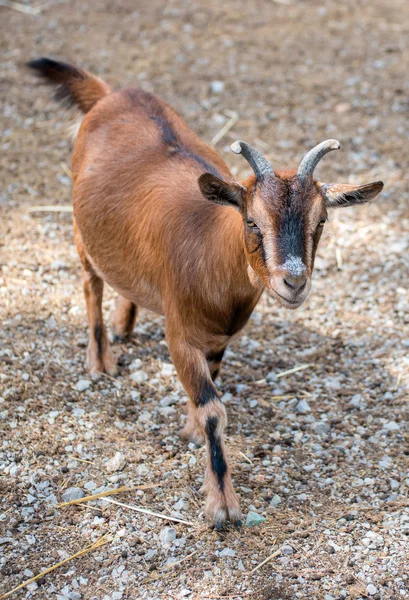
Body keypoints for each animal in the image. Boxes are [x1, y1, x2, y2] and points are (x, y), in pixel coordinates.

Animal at [28, 58, 382, 528]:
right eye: (251, 221)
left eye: (321, 221)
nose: (293, 281)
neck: (214, 254)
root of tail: (109, 94)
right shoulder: (180, 336)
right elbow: (214, 409)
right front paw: (223, 506)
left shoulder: (220, 338)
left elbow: (209, 391)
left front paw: (192, 429)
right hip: (80, 232)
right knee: (91, 285)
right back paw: (100, 358)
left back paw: (124, 325)